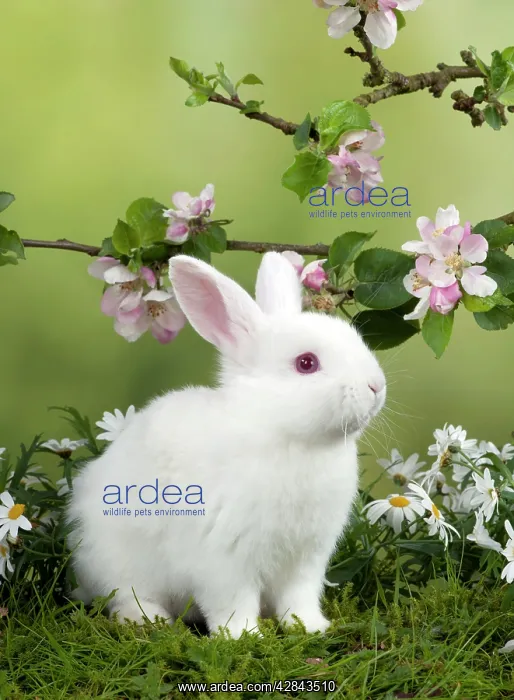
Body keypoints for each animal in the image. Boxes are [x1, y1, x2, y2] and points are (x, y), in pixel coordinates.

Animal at [67, 251, 386, 638]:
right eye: (306, 363)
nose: (376, 386)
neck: (286, 434)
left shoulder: (306, 557)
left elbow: (299, 597)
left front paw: (310, 627)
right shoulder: (223, 558)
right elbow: (233, 601)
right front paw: (243, 635)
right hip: (119, 561)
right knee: (124, 597)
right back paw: (147, 619)